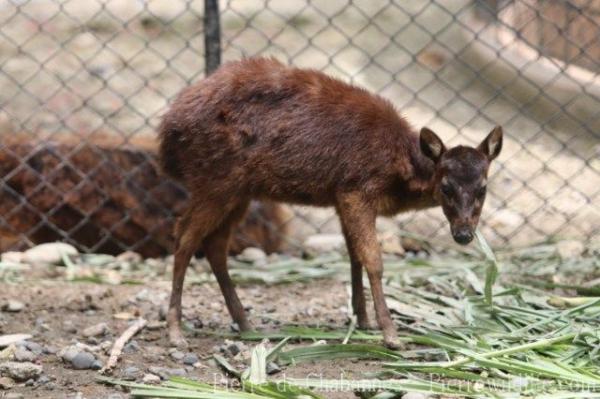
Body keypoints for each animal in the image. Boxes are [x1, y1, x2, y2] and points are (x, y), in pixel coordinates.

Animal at [158, 57, 502, 348]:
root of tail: (167, 131)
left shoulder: (341, 197)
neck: (398, 168)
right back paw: (176, 332)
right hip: (214, 179)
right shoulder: (357, 190)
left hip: (238, 191)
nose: (463, 233)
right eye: (445, 187)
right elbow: (373, 259)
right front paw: (390, 334)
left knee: (215, 245)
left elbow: (353, 256)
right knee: (184, 238)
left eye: (483, 188)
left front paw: (363, 321)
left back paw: (245, 323)